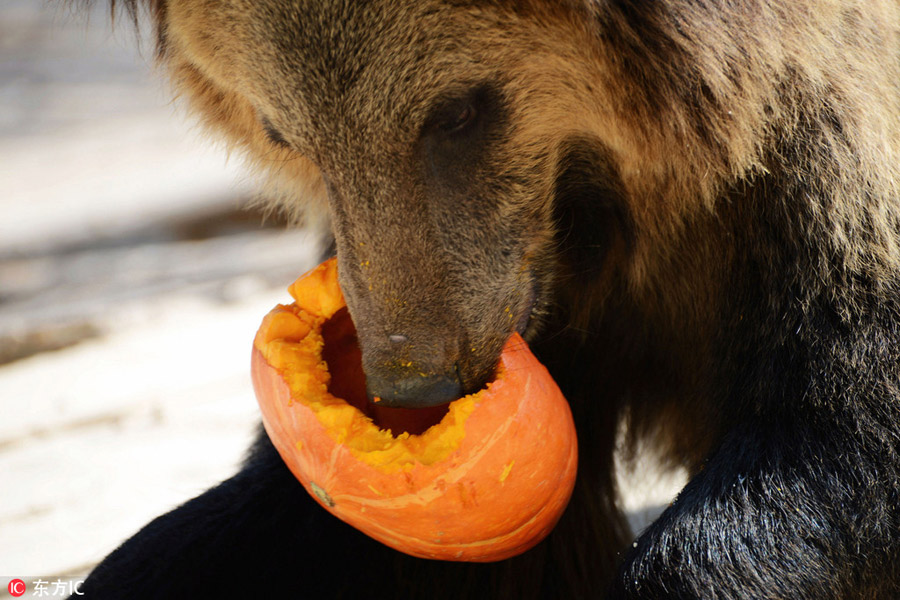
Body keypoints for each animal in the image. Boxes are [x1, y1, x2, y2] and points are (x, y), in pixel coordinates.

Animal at [72, 1, 900, 600]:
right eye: (282, 131)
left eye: (458, 112)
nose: (413, 381)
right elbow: (291, 515)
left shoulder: (814, 189)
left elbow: (836, 434)